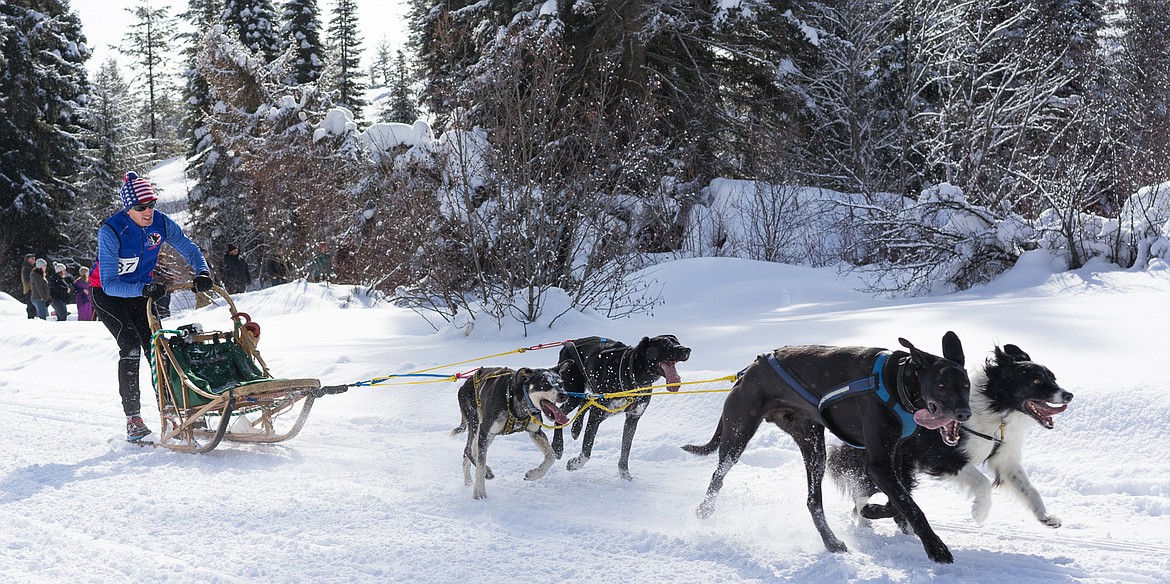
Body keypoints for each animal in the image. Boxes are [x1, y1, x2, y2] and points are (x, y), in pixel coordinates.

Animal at [451, 367, 570, 500]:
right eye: (545, 383)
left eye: (561, 383)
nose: (563, 395)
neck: (516, 398)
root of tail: (465, 384)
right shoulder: (485, 430)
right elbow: (480, 465)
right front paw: (479, 492)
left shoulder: (536, 432)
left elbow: (551, 456)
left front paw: (534, 474)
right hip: (476, 426)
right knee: (469, 450)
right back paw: (484, 473)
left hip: (487, 436)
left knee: (470, 453)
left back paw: (468, 481)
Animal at [552, 337, 687, 482]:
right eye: (665, 344)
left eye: (677, 342)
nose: (686, 349)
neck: (631, 373)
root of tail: (569, 344)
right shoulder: (596, 415)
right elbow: (587, 449)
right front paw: (574, 464)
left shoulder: (632, 419)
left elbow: (625, 450)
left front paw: (625, 475)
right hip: (574, 394)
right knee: (560, 415)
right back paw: (558, 447)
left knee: (585, 401)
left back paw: (575, 429)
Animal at [683, 337, 968, 564]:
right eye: (941, 384)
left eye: (965, 385)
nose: (964, 413)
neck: (895, 382)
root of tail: (747, 373)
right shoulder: (878, 464)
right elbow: (911, 506)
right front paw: (936, 549)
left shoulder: (894, 456)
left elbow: (900, 501)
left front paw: (872, 510)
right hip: (739, 434)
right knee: (718, 474)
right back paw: (704, 509)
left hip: (813, 446)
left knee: (813, 500)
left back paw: (831, 541)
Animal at [828, 344, 1071, 533]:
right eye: (1035, 381)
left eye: (1052, 377)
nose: (1068, 395)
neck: (995, 408)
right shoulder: (942, 457)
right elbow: (982, 482)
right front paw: (979, 513)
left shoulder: (1005, 460)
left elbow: (1029, 489)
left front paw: (1046, 518)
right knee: (861, 493)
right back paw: (863, 522)